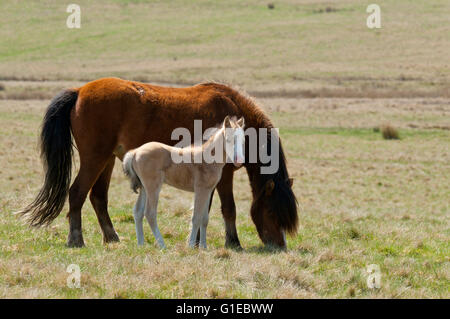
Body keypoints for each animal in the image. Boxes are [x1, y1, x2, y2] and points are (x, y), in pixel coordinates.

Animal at [123, 117, 244, 250]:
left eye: (243, 140)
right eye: (228, 139)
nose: (239, 161)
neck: (208, 159)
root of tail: (135, 151)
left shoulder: (208, 190)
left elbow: (204, 219)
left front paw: (204, 247)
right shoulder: (200, 190)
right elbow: (196, 217)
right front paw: (191, 246)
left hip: (144, 188)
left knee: (137, 211)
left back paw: (141, 244)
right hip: (153, 187)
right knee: (150, 213)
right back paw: (162, 245)